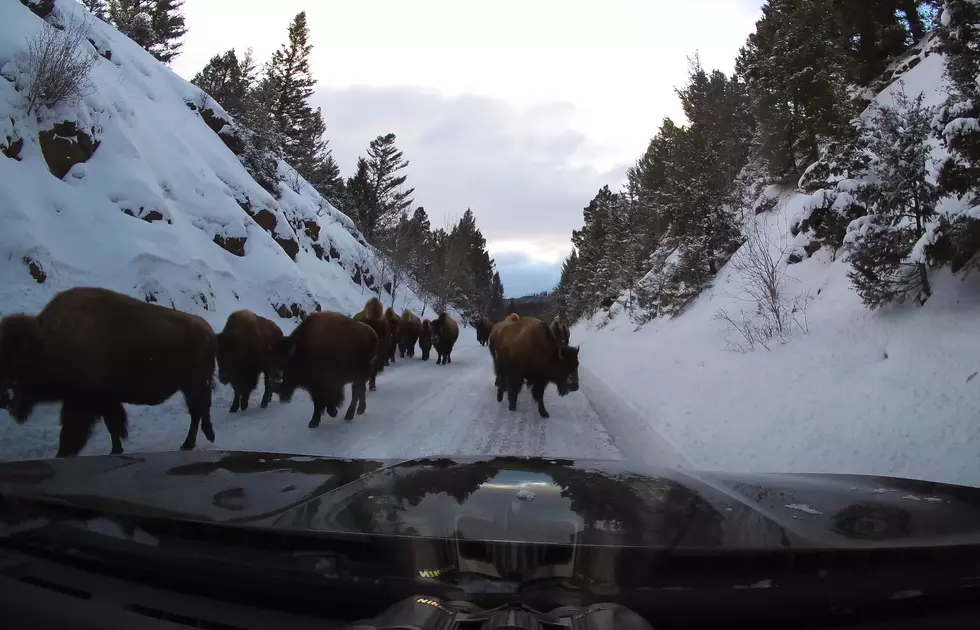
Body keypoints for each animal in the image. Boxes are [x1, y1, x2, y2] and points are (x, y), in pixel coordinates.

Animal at [0, 288, 216, 460]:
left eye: (16, 362)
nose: (4, 398)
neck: (47, 342)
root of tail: (208, 330)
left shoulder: (82, 402)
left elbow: (72, 431)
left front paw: (62, 454)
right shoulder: (104, 401)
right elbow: (111, 424)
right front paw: (115, 450)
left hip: (194, 385)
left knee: (198, 412)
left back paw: (190, 443)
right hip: (191, 386)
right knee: (199, 411)